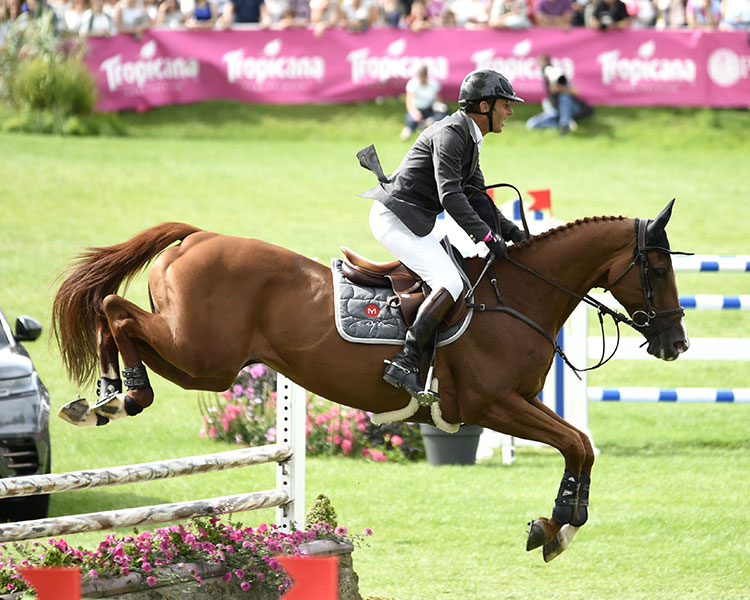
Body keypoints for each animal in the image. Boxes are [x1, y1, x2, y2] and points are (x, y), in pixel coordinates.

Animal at [50, 202, 692, 564]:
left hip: (204, 363)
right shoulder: (493, 405)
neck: (519, 295)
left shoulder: (522, 402)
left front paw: (556, 526)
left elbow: (579, 446)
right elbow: (577, 443)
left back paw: (106, 395)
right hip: (202, 351)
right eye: (659, 268)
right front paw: (561, 525)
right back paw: (123, 393)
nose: (676, 343)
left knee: (119, 318)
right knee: (114, 308)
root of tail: (198, 237)